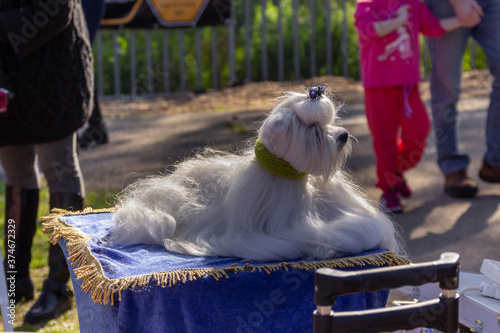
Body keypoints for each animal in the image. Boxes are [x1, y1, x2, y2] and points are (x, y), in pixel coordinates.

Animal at [111, 87, 400, 260]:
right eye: (315, 130)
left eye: (330, 123)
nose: (343, 136)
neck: (284, 176)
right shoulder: (266, 235)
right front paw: (325, 246)